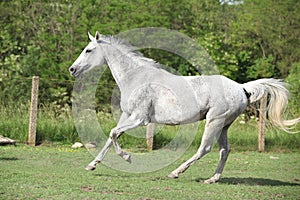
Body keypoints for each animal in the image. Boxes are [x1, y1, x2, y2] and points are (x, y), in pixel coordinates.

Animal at [69, 32, 298, 184]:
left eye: (88, 50)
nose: (72, 69)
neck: (135, 77)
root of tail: (241, 88)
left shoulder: (140, 119)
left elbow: (113, 133)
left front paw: (127, 157)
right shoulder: (127, 115)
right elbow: (111, 135)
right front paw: (92, 165)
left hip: (214, 121)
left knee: (204, 148)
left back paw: (175, 173)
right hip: (224, 125)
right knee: (225, 150)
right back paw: (212, 179)